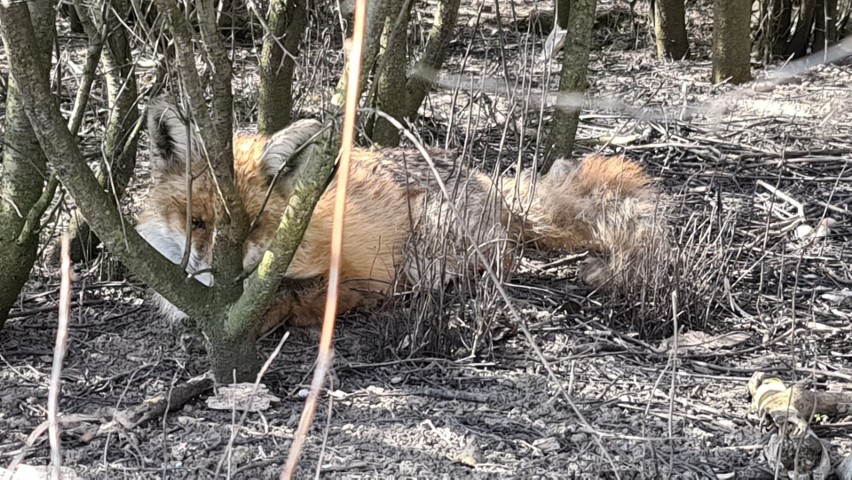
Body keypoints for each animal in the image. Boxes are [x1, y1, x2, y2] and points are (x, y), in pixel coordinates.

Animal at [136, 100, 664, 334]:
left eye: (254, 227)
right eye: (195, 222)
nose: (208, 271)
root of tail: (482, 180)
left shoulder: (349, 276)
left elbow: (290, 295)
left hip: (427, 240)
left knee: (499, 260)